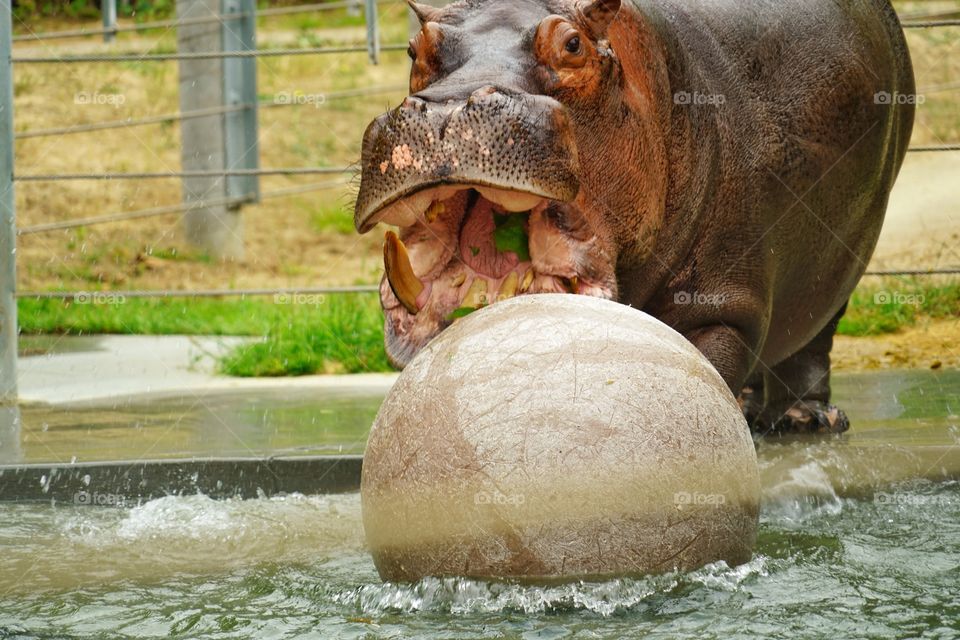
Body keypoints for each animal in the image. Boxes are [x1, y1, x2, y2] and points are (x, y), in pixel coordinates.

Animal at [353, 0, 915, 434]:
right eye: (416, 48)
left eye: (573, 45)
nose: (445, 110)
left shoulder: (722, 310)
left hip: (851, 250)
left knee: (815, 337)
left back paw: (807, 420)